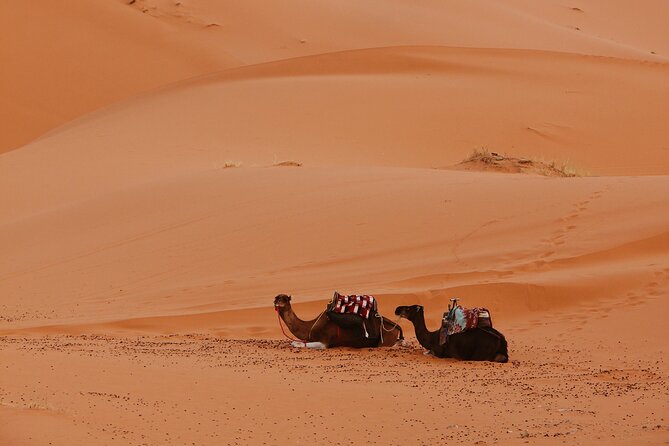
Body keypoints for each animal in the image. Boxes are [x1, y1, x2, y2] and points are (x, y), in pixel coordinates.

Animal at [272, 294, 402, 350]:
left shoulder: (324, 341)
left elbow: (297, 343)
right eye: (276, 297)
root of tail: (397, 328)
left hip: (385, 340)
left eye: (285, 299)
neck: (310, 326)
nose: (276, 302)